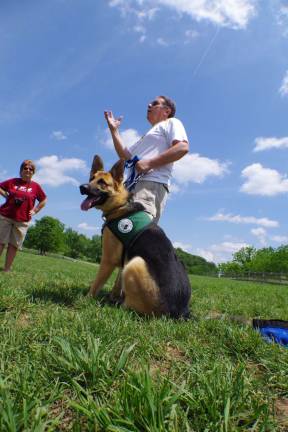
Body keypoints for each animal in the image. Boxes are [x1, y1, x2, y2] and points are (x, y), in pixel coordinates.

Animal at [80, 157, 191, 318]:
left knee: (131, 307)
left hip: (135, 263)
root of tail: (180, 312)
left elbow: (96, 284)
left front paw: (85, 300)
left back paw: (118, 306)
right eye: (91, 178)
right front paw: (112, 297)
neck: (120, 206)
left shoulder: (108, 260)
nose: (82, 187)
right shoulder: (122, 261)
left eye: (102, 182)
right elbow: (118, 283)